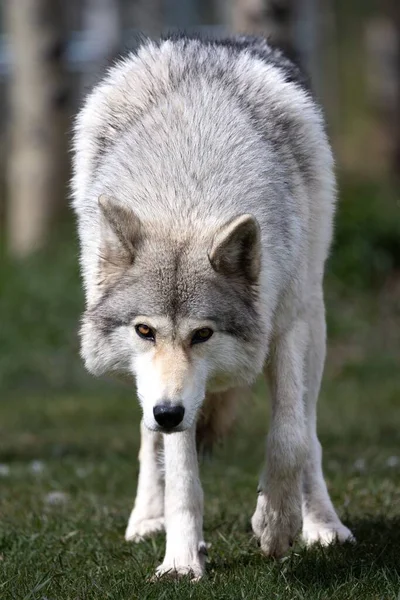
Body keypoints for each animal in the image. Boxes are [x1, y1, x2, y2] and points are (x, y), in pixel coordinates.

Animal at [71, 35, 354, 580]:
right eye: (145, 331)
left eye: (203, 334)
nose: (168, 412)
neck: (188, 192)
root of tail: (209, 39)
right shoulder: (171, 394)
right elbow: (181, 473)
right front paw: (181, 559)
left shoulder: (286, 328)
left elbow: (289, 439)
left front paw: (277, 526)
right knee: (148, 442)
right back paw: (147, 518)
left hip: (315, 325)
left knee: (309, 434)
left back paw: (322, 524)